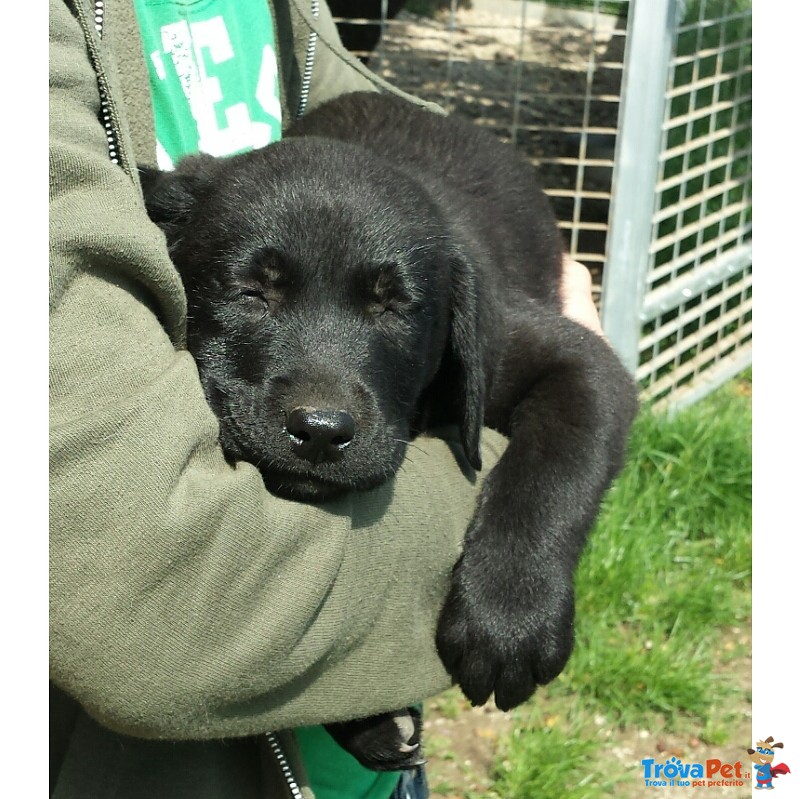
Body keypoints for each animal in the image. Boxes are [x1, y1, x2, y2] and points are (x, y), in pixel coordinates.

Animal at [139, 90, 636, 772]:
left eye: (394, 307)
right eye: (250, 293)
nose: (322, 432)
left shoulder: (572, 361)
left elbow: (552, 474)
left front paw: (510, 614)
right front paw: (370, 720)